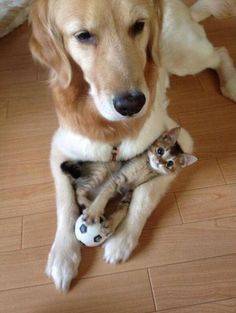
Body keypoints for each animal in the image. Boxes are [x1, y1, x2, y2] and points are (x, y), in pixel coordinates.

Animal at [61, 127, 197, 232]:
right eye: (160, 151)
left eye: (170, 164)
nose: (159, 162)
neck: (146, 167)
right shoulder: (119, 177)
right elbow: (105, 193)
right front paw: (94, 211)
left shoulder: (131, 190)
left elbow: (124, 208)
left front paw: (112, 224)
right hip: (101, 169)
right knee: (78, 190)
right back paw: (89, 205)